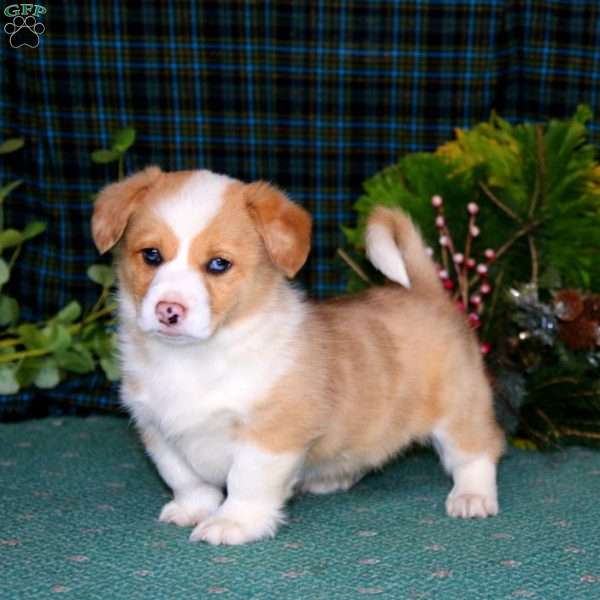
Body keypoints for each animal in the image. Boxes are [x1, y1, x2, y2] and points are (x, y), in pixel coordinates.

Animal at [92, 166, 506, 548]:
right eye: (151, 255)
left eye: (218, 264)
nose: (168, 310)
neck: (194, 359)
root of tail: (427, 291)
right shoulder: (157, 430)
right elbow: (185, 479)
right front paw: (193, 510)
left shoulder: (270, 434)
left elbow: (246, 483)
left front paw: (232, 524)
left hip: (459, 410)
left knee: (479, 451)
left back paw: (472, 497)